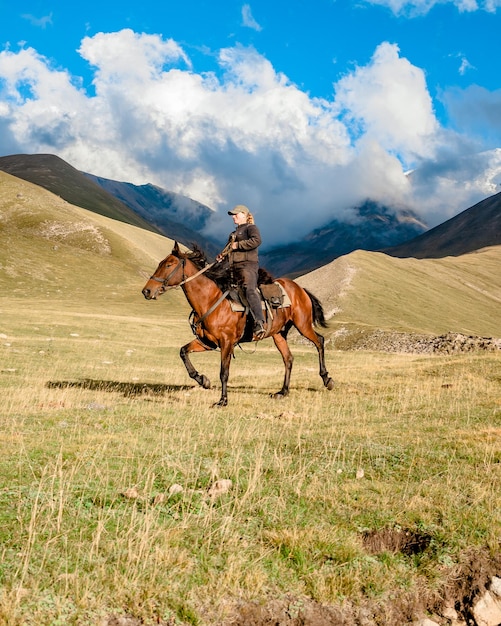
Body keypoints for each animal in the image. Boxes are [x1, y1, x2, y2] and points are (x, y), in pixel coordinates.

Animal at [142, 239, 336, 404]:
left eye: (168, 264)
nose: (147, 291)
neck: (211, 300)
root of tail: (299, 288)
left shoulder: (226, 342)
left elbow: (224, 372)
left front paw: (222, 401)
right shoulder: (207, 342)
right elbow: (183, 352)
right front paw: (203, 380)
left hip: (303, 325)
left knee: (319, 341)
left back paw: (327, 379)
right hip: (279, 334)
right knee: (288, 358)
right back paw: (283, 392)